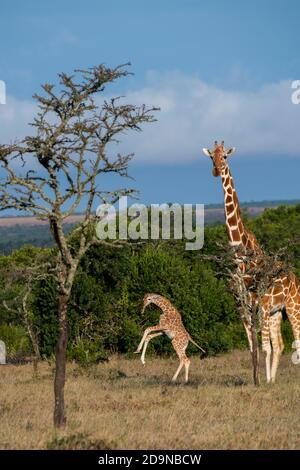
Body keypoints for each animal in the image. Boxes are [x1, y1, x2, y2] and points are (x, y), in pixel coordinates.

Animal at [202, 140, 300, 382]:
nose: (216, 170)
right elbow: (252, 348)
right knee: (280, 344)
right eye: (211, 157)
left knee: (295, 339)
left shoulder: (261, 305)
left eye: (225, 156)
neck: (241, 259)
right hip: (276, 313)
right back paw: (272, 380)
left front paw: (262, 382)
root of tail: (295, 277)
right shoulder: (243, 307)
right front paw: (258, 381)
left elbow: (264, 348)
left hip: (292, 306)